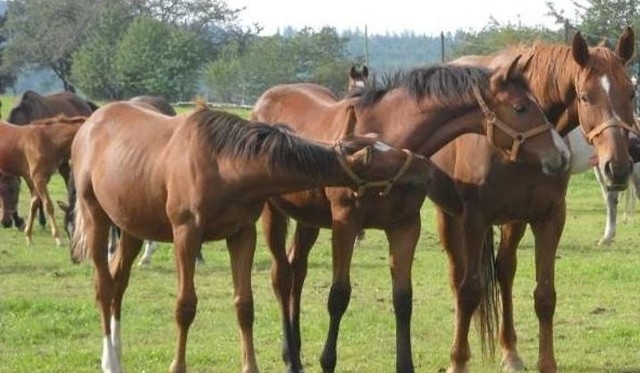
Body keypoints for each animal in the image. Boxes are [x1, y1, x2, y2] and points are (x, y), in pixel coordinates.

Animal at [0, 115, 85, 246]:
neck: (48, 141)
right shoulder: (38, 178)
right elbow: (48, 205)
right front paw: (57, 238)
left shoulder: (40, 178)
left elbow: (34, 203)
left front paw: (28, 236)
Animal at [71, 101, 436, 372]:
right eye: (385, 160)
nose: (427, 168)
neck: (221, 162)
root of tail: (89, 125)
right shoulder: (186, 235)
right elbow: (185, 306)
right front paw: (178, 366)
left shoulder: (242, 234)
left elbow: (245, 306)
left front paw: (251, 366)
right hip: (96, 216)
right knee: (104, 287)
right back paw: (109, 360)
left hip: (132, 228)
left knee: (118, 282)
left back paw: (116, 354)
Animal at [251, 59, 568, 370]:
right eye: (520, 108)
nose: (561, 155)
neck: (385, 142)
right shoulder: (345, 224)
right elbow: (338, 295)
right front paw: (327, 361)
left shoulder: (405, 226)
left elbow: (403, 299)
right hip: (272, 213)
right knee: (282, 276)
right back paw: (291, 358)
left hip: (309, 219)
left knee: (298, 269)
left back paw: (294, 350)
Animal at [436, 27, 636, 370]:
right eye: (585, 96)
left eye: (631, 93)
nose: (619, 166)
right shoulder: (475, 218)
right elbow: (469, 290)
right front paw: (457, 361)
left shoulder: (549, 217)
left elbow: (545, 296)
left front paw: (547, 363)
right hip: (448, 217)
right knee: (457, 276)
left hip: (513, 221)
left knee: (504, 271)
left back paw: (510, 352)